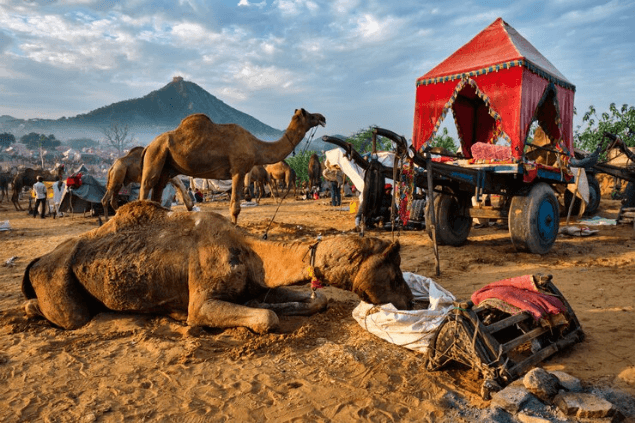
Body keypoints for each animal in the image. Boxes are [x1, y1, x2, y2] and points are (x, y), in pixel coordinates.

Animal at [22, 200, 412, 332]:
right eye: (394, 274)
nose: (410, 301)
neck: (251, 251)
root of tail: (37, 261)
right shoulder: (203, 300)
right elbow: (266, 318)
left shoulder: (258, 283)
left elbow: (315, 299)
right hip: (57, 278)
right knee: (68, 316)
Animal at [137, 108, 326, 225]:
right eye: (309, 115)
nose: (322, 117)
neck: (255, 146)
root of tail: (148, 145)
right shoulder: (238, 169)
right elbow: (235, 207)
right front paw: (236, 228)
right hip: (155, 154)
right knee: (146, 185)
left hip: (166, 165)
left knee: (158, 190)